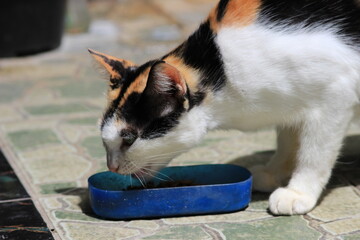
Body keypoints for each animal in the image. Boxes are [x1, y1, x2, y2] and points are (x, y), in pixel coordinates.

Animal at [88, 0, 360, 214]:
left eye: (129, 138)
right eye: (104, 138)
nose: (111, 166)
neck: (221, 68)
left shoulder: (335, 94)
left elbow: (314, 153)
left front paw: (299, 192)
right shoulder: (291, 103)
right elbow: (287, 141)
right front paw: (274, 172)